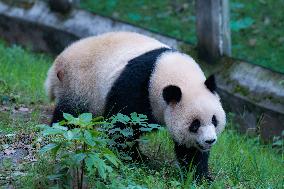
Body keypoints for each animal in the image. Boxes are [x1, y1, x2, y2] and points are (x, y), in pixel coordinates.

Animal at [44, 31, 226, 181]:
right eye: (194, 124)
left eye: (214, 120)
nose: (210, 140)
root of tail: (58, 62)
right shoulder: (137, 85)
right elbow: (122, 125)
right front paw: (132, 158)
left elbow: (189, 149)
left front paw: (199, 175)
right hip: (78, 84)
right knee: (70, 115)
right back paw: (59, 134)